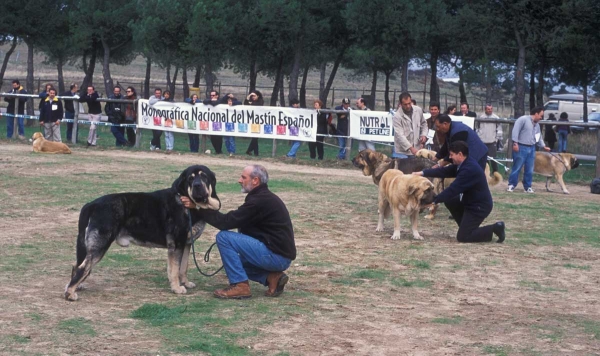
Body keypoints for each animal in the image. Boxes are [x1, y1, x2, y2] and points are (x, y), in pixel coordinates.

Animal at [65, 165, 220, 300]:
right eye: (190, 179)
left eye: (204, 176)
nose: (197, 185)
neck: (185, 201)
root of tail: (92, 204)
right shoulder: (176, 245)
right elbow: (175, 270)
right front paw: (177, 288)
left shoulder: (186, 244)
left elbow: (184, 267)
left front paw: (186, 283)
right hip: (100, 245)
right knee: (82, 267)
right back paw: (70, 293)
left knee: (77, 265)